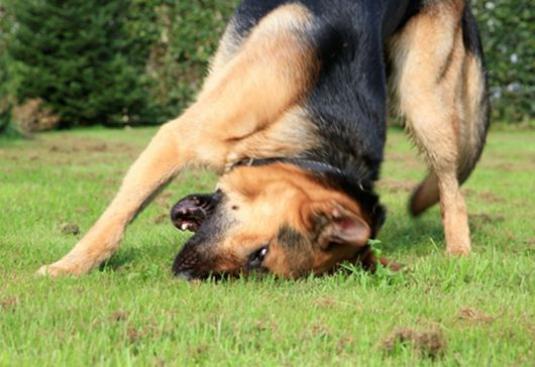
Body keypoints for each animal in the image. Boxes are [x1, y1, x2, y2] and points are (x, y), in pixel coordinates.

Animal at [37, 0, 490, 282]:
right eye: (260, 254)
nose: (184, 275)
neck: (309, 149)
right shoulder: (177, 138)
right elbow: (115, 223)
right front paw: (69, 267)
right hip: (421, 100)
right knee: (451, 182)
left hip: (424, 96)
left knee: (450, 186)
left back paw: (459, 253)